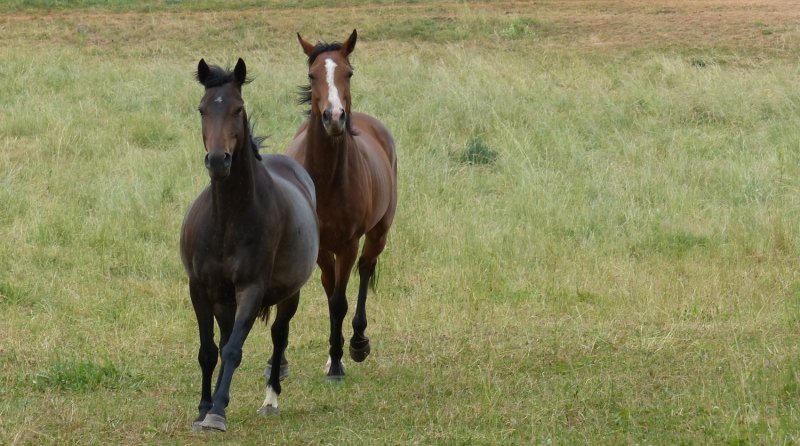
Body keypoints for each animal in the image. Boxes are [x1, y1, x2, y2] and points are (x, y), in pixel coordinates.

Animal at [180, 58, 319, 432]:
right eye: (202, 109)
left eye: (238, 109)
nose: (218, 160)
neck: (227, 219)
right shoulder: (199, 288)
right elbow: (208, 351)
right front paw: (203, 408)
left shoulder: (252, 288)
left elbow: (232, 350)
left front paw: (216, 412)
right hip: (223, 299)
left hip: (289, 294)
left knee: (278, 336)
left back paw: (270, 400)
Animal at [287, 30, 398, 380]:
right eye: (312, 75)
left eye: (348, 73)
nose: (334, 117)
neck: (326, 180)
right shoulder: (321, 246)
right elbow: (330, 293)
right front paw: (332, 358)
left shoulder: (348, 243)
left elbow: (339, 301)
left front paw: (338, 362)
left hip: (378, 232)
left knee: (365, 269)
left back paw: (359, 342)